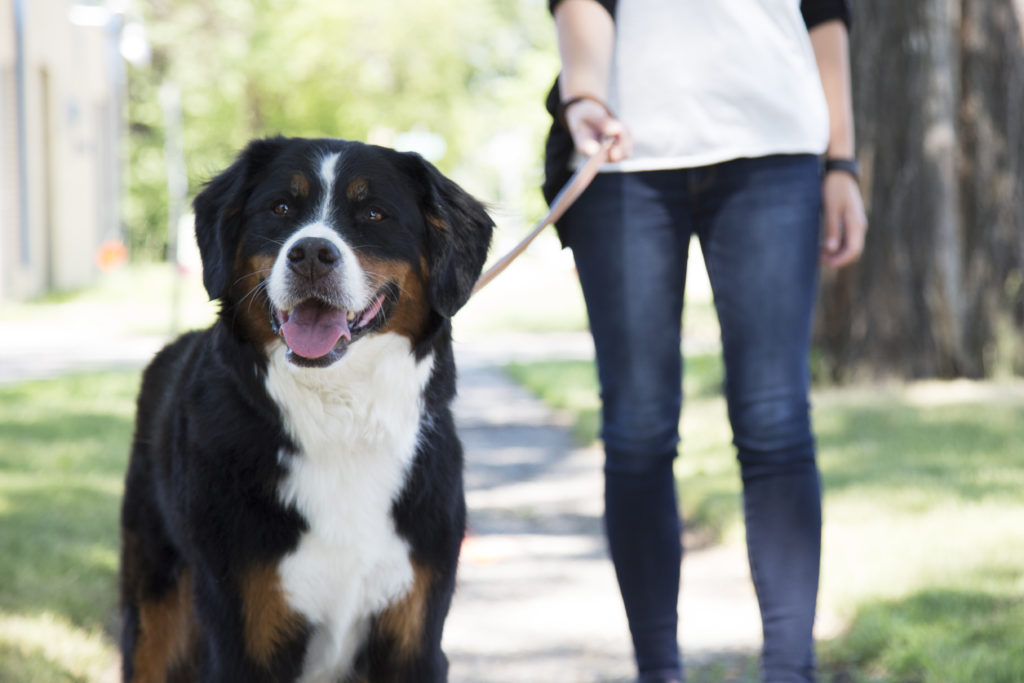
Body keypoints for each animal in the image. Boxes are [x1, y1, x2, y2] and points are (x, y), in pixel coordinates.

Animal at [119, 136, 495, 679]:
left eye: (373, 213)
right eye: (280, 208)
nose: (312, 253)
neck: (340, 423)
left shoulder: (414, 636)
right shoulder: (244, 635)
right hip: (156, 609)